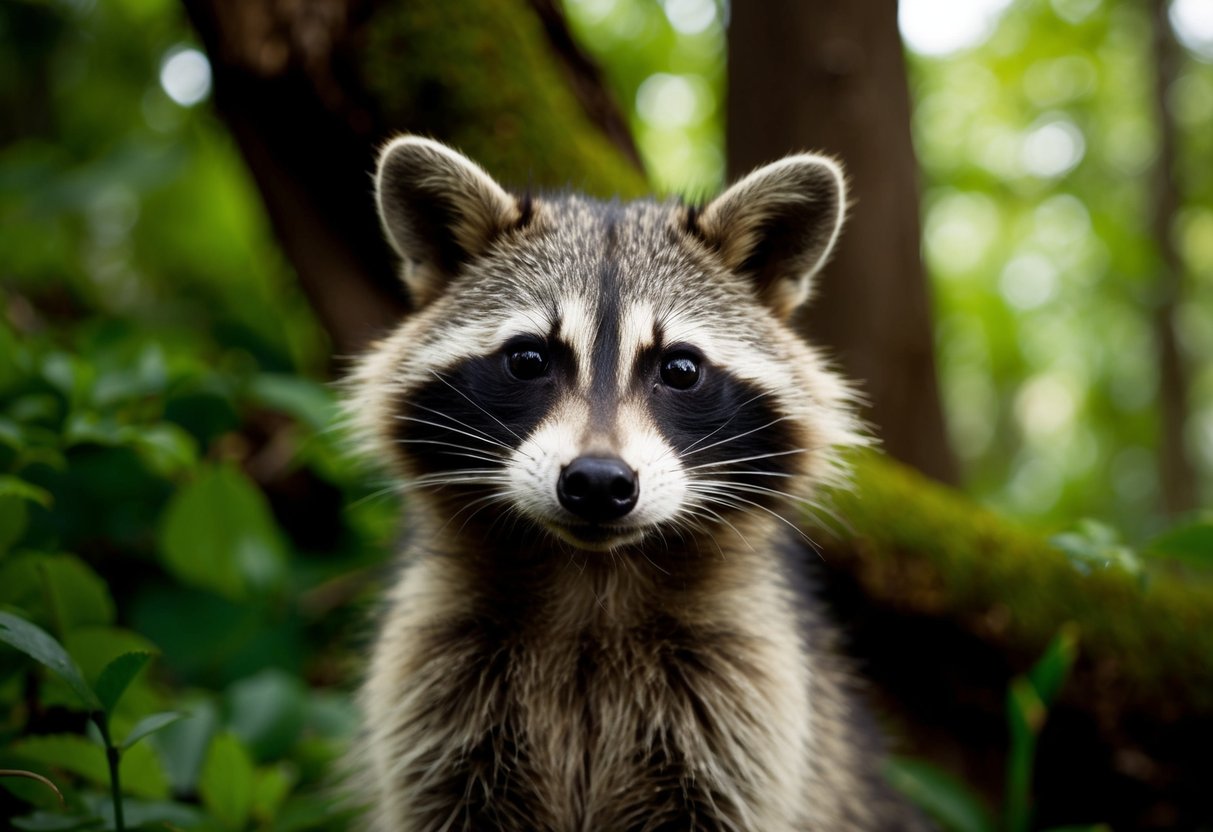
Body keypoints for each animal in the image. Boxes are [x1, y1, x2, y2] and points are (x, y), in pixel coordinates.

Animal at [347, 136, 924, 831]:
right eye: (528, 359)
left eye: (680, 369)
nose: (598, 482)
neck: (591, 582)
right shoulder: (434, 678)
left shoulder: (746, 697)